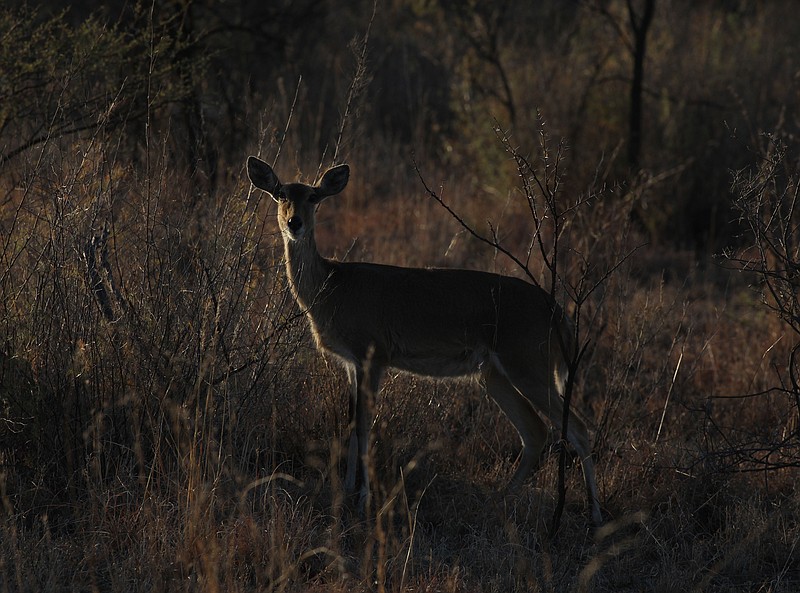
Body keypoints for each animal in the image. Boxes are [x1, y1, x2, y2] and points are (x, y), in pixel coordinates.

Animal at [247, 154, 604, 524]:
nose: (295, 223)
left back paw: (595, 514)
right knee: (536, 431)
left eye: (313, 197)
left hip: (529, 362)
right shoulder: (351, 362)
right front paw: (344, 492)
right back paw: (500, 499)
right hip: (494, 373)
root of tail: (561, 315)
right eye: (281, 193)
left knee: (578, 428)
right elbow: (350, 425)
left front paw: (363, 500)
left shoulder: (374, 353)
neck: (333, 289)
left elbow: (365, 426)